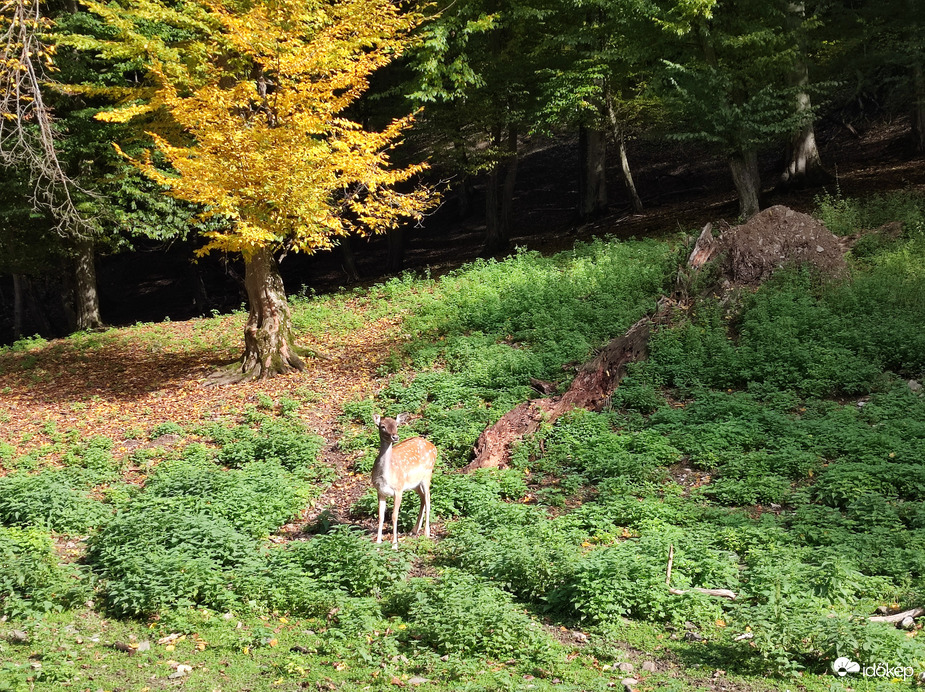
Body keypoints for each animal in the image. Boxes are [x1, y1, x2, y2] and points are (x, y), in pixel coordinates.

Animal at [372, 414, 436, 548]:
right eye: (382, 426)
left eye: (396, 425)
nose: (395, 437)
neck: (385, 477)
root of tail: (434, 447)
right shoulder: (380, 491)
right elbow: (381, 516)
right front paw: (378, 542)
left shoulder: (399, 489)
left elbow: (394, 516)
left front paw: (394, 544)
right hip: (415, 483)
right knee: (423, 498)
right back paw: (414, 530)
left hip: (428, 473)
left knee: (428, 498)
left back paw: (426, 533)